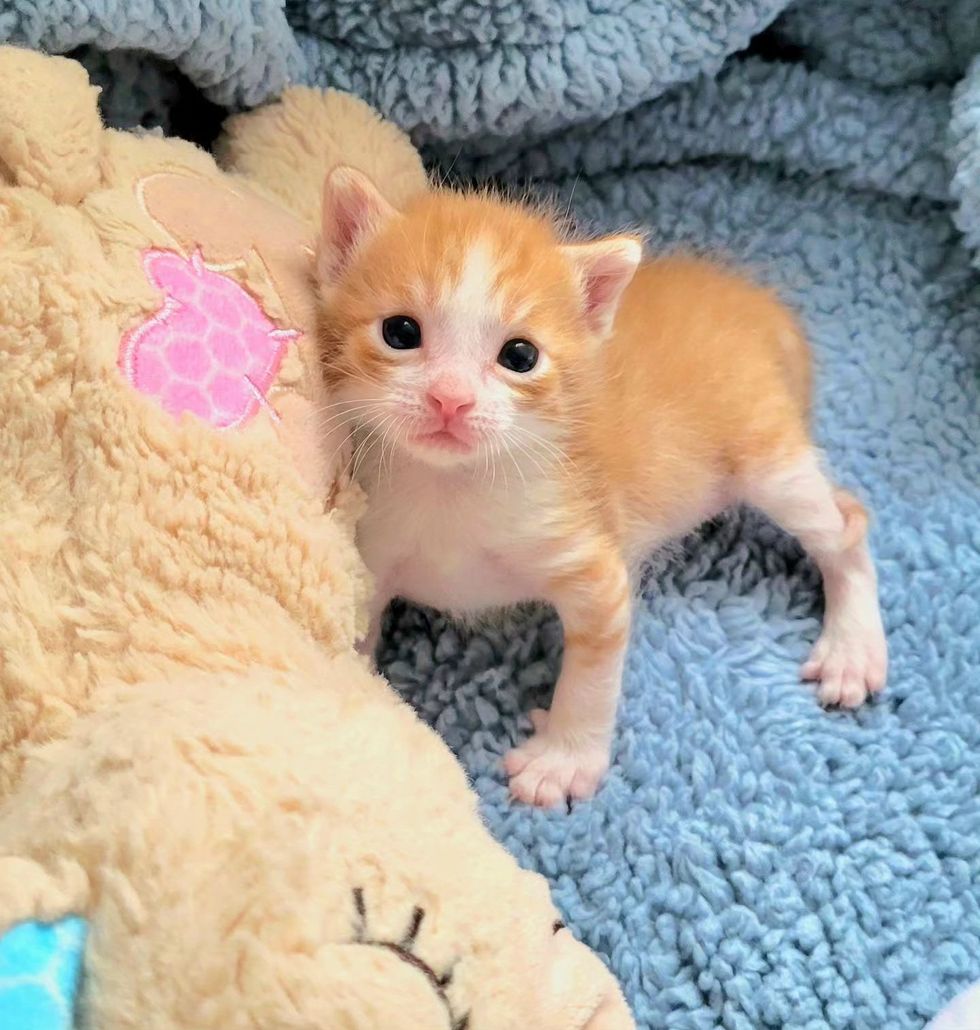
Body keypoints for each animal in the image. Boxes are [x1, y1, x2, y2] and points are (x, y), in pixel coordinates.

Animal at [313, 168, 890, 807]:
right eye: (400, 332)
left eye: (520, 356)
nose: (450, 399)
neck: (452, 487)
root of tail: (757, 304)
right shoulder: (372, 549)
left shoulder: (589, 563)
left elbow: (592, 676)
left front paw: (565, 759)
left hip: (769, 458)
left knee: (847, 523)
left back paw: (852, 649)